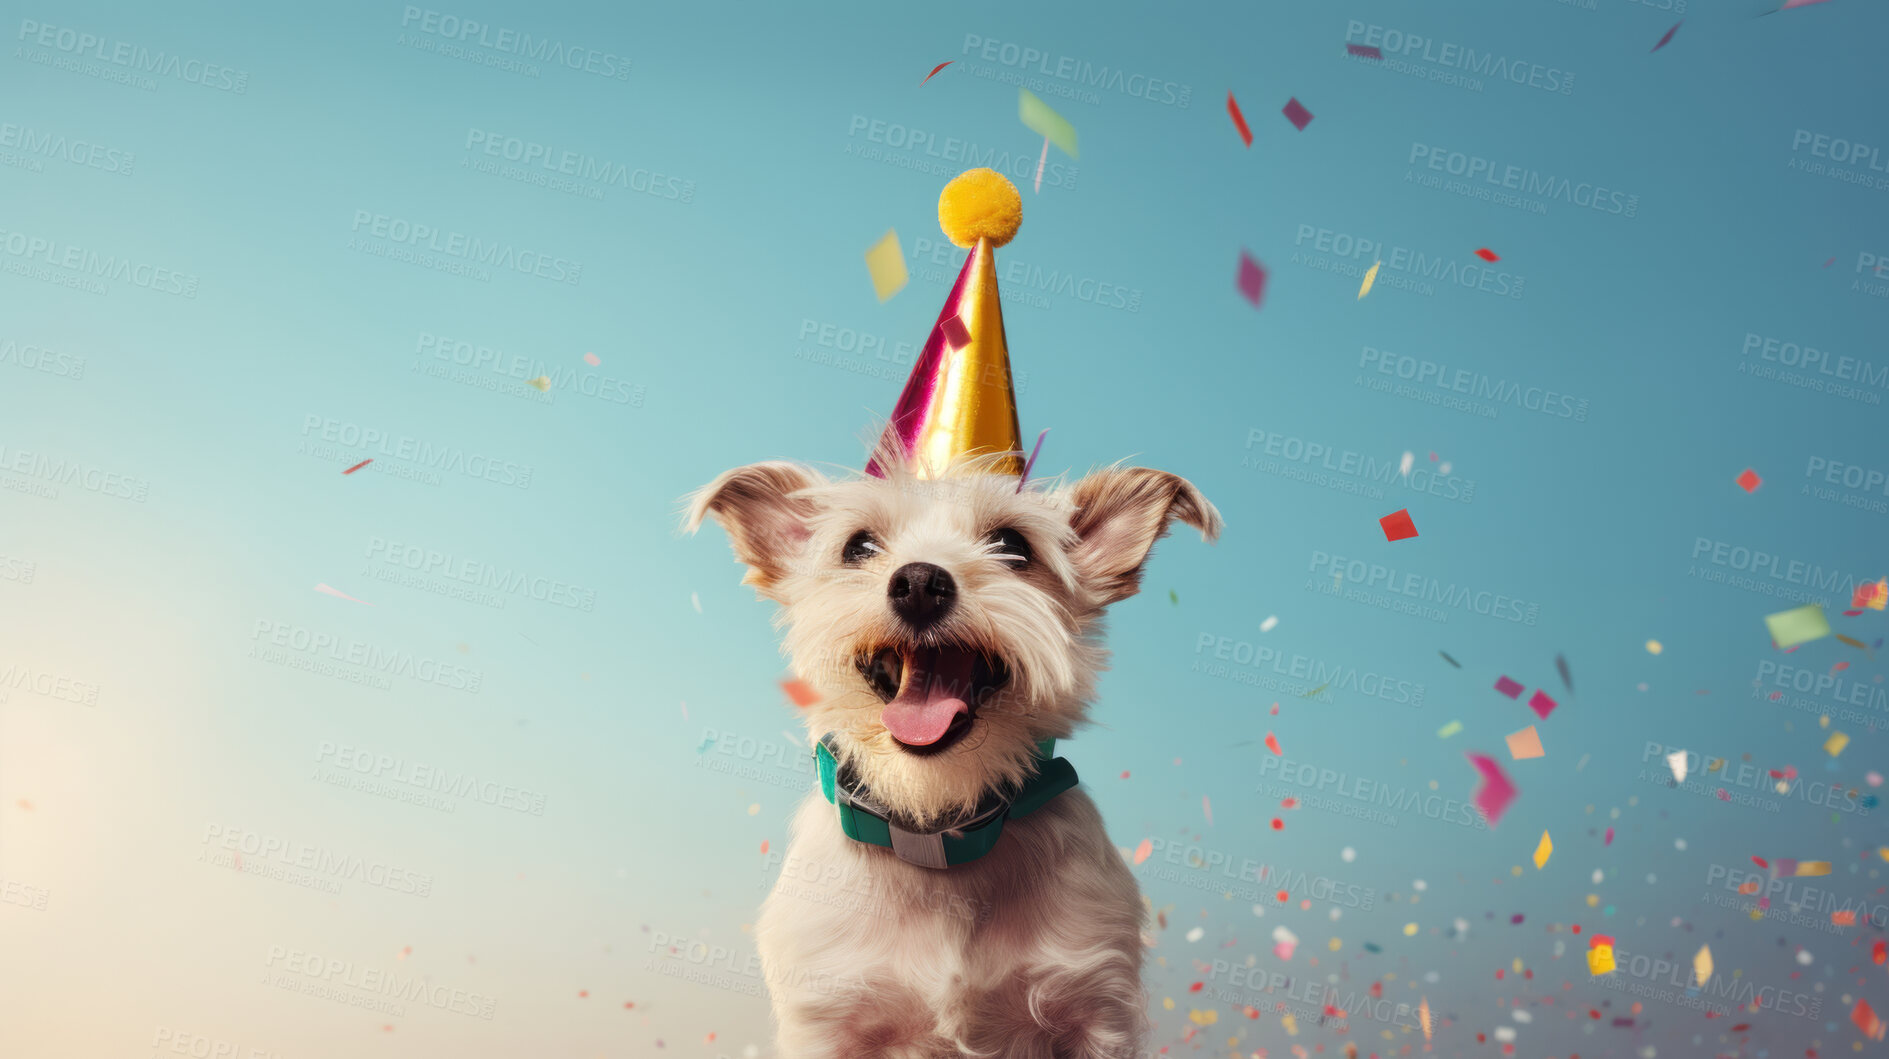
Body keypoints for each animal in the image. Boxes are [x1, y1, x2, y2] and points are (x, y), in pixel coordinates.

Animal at [687, 439, 1216, 1057]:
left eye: (1013, 545)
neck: (936, 828)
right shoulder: (826, 1013)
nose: (919, 582)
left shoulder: (1094, 1007)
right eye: (858, 546)